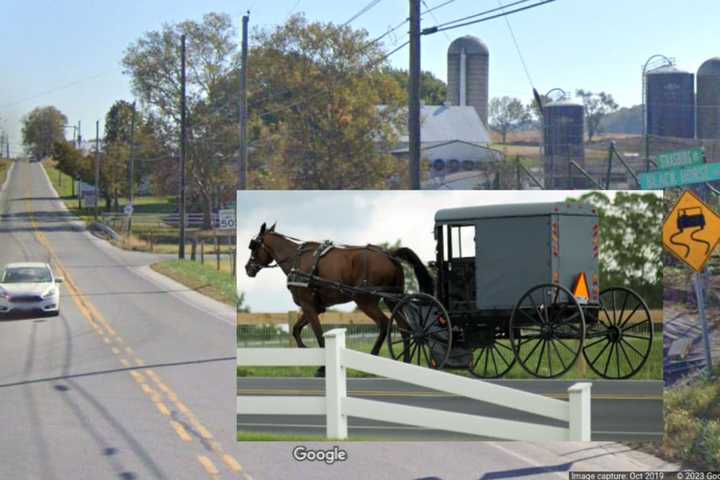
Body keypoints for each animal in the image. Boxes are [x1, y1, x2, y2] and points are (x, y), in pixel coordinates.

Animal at [245, 223, 434, 370]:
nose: (248, 268)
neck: (297, 261)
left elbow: (319, 335)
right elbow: (296, 330)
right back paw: (406, 361)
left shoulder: (308, 305)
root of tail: (390, 255)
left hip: (365, 301)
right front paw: (305, 350)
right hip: (391, 298)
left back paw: (374, 356)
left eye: (253, 246)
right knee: (404, 327)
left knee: (384, 324)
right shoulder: (315, 307)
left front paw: (322, 368)